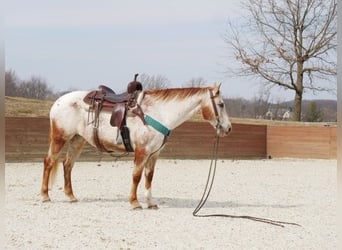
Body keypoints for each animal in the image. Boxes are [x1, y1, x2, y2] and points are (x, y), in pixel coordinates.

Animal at [40, 82, 232, 209]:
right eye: (221, 104)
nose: (228, 128)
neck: (158, 113)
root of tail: (58, 102)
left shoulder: (154, 154)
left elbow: (149, 177)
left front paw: (151, 203)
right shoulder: (142, 151)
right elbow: (137, 176)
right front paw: (134, 202)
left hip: (77, 140)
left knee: (67, 165)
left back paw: (71, 196)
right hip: (59, 138)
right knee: (49, 161)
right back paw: (45, 195)